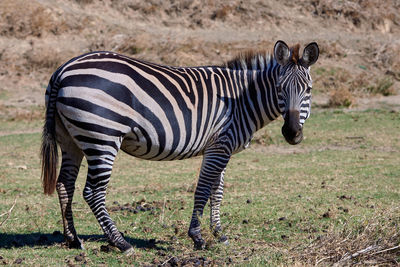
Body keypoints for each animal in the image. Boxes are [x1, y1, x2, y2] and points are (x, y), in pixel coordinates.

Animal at [41, 40, 318, 255]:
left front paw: (219, 234)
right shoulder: (220, 145)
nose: (292, 133)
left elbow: (217, 191)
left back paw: (73, 239)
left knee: (65, 184)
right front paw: (198, 236)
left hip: (71, 139)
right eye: (280, 89)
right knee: (92, 191)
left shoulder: (221, 147)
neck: (242, 101)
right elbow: (203, 190)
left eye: (308, 90)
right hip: (102, 138)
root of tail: (64, 69)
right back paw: (121, 243)